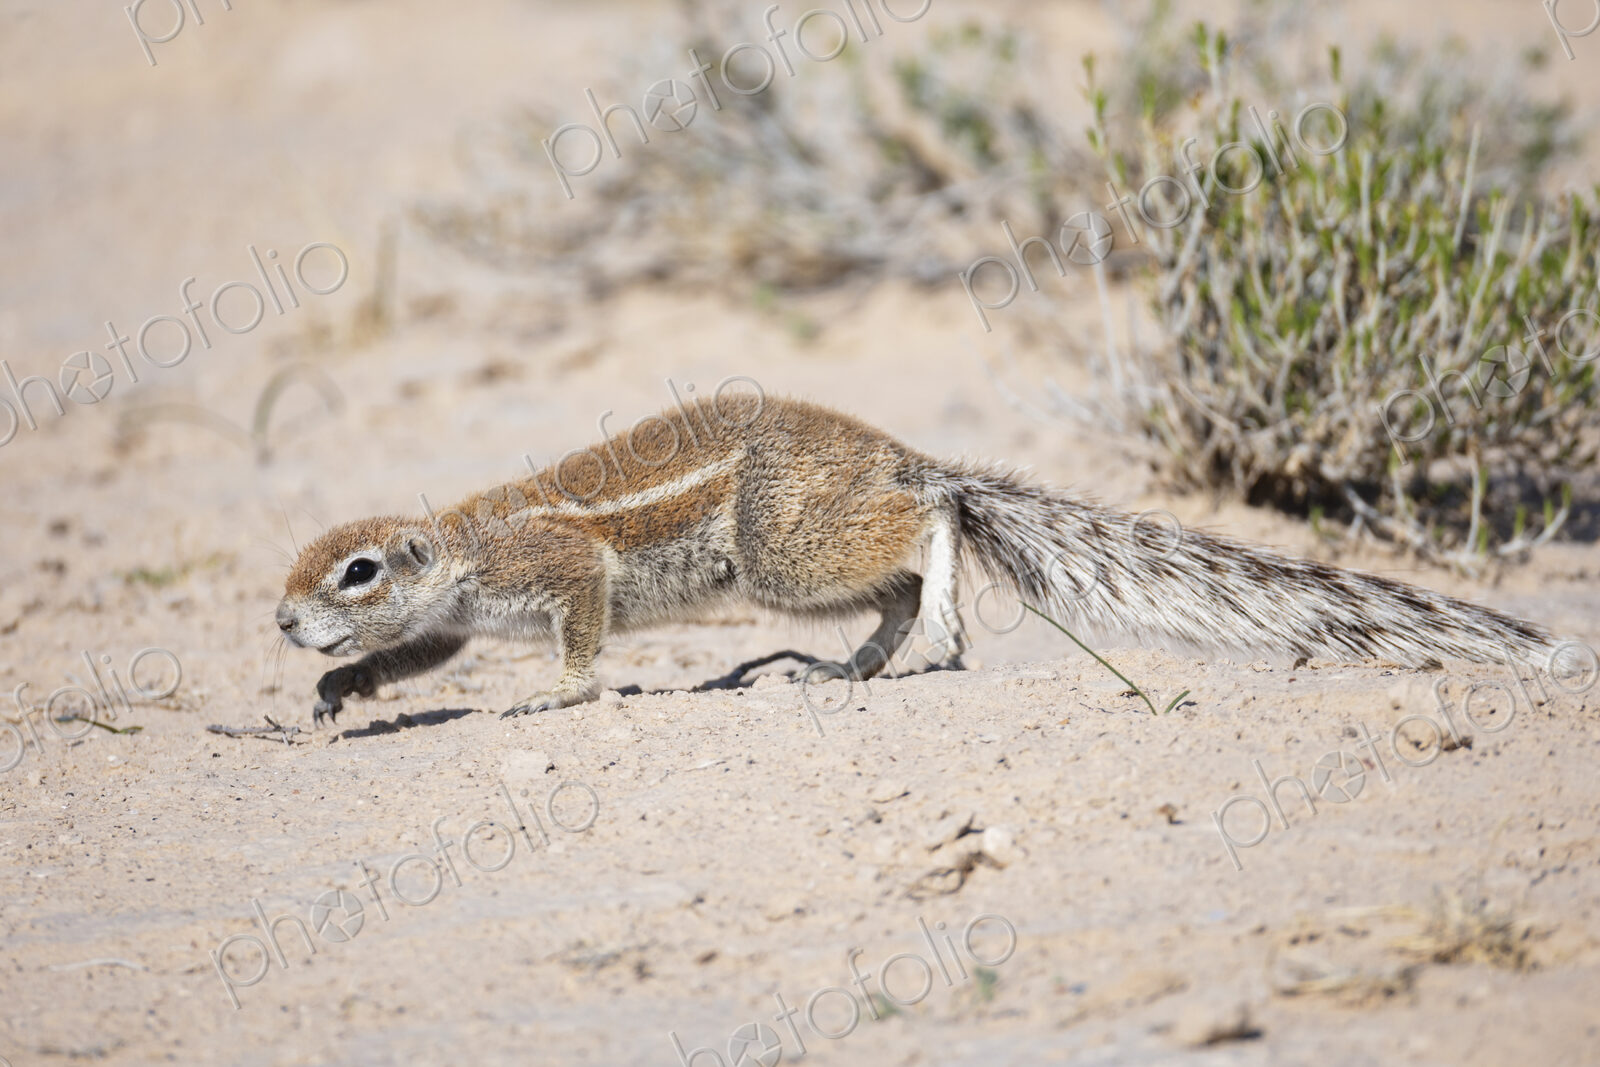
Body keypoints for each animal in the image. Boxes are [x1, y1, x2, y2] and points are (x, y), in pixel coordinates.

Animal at [276, 393, 1563, 723]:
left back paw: (931, 606)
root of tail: (894, 449)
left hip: (779, 551)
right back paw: (852, 666)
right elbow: (407, 665)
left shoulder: (558, 567)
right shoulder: (449, 628)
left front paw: (557, 692)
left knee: (928, 523)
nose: (284, 624)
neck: (459, 549)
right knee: (892, 580)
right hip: (794, 561)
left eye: (356, 571)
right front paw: (335, 692)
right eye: (299, 575)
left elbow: (582, 625)